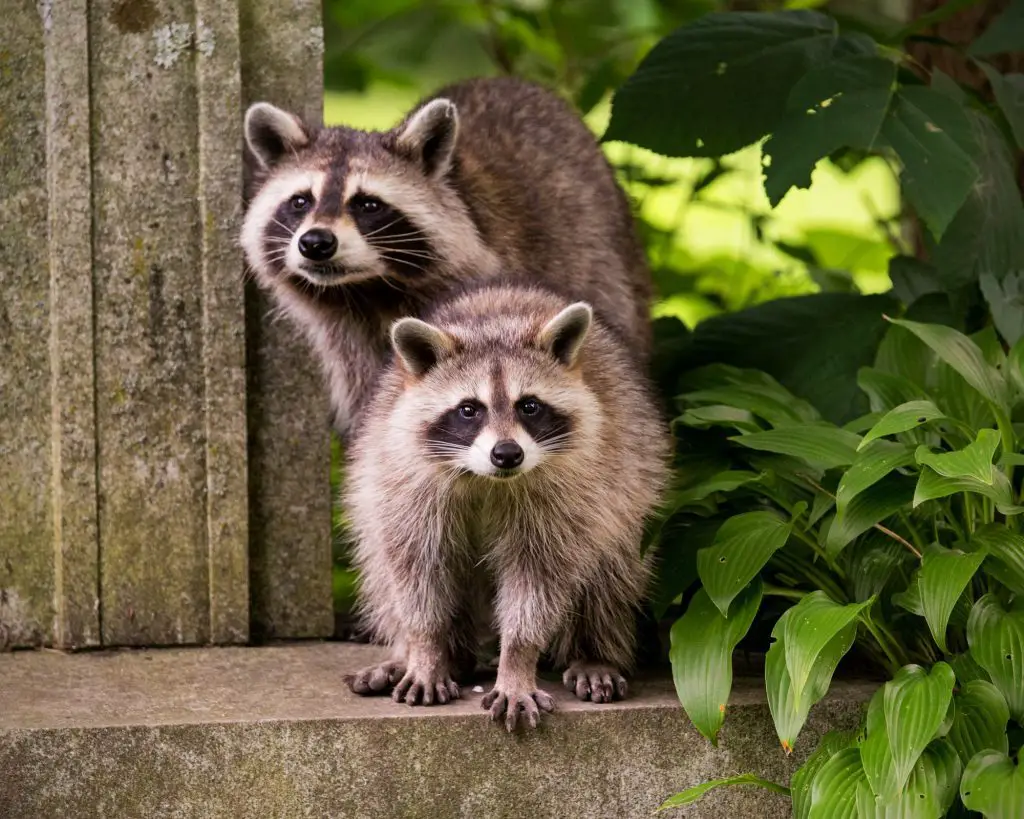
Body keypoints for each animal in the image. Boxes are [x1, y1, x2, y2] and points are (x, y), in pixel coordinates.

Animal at [339, 282, 667, 728]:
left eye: (529, 405)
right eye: (468, 410)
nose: (507, 454)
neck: (486, 479)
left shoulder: (567, 496)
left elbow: (538, 580)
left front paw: (516, 662)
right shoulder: (406, 482)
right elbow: (416, 571)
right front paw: (425, 650)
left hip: (629, 487)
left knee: (612, 572)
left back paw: (594, 652)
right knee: (381, 569)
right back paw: (425, 657)